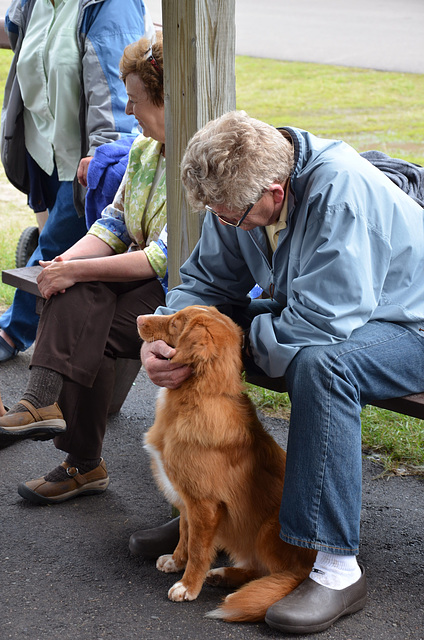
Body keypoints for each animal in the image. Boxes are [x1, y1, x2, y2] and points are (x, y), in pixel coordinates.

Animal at [137, 308, 316, 624]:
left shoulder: (206, 504)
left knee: (280, 575)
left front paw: (188, 586)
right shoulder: (188, 500)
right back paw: (223, 576)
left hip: (268, 531)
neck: (196, 397)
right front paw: (176, 560)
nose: (138, 319)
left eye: (175, 324)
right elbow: (184, 532)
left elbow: (198, 549)